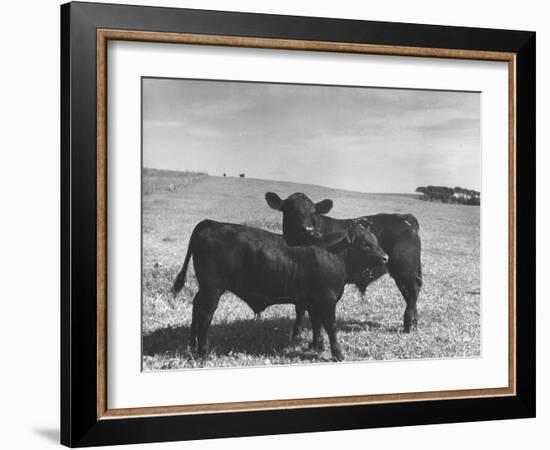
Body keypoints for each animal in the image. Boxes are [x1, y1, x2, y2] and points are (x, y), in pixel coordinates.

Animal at [175, 220, 390, 360]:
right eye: (365, 243)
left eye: (377, 241)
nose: (385, 257)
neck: (333, 254)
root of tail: (212, 224)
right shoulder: (327, 300)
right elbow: (330, 326)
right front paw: (337, 353)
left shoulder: (314, 301)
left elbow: (316, 324)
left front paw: (316, 346)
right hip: (212, 289)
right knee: (205, 315)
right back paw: (203, 352)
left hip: (204, 290)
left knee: (196, 308)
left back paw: (192, 345)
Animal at [266, 192, 422, 332]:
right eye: (290, 210)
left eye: (313, 212)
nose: (307, 229)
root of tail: (406, 217)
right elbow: (299, 308)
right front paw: (297, 332)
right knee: (408, 293)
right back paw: (413, 323)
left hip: (405, 269)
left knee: (413, 290)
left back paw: (409, 323)